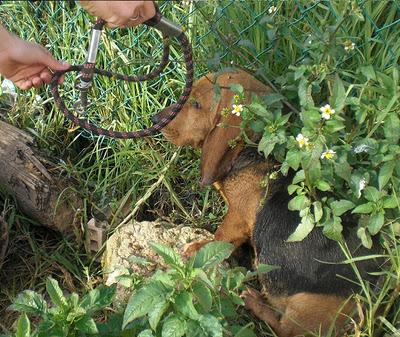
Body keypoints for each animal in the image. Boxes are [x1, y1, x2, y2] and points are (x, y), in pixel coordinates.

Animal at [152, 69, 378, 334]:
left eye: (196, 104)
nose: (155, 120)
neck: (254, 152)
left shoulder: (238, 217)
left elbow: (221, 236)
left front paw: (199, 248)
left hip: (305, 307)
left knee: (283, 329)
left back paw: (254, 300)